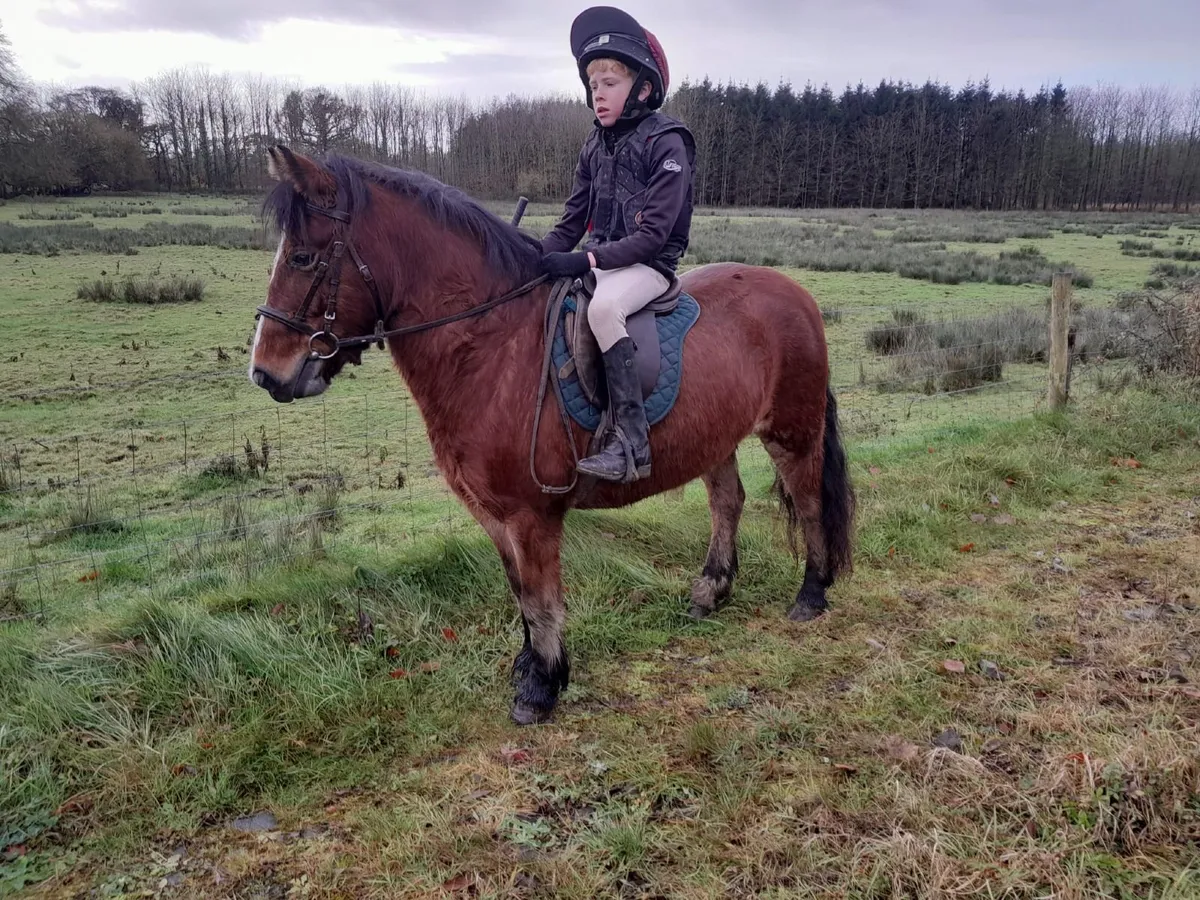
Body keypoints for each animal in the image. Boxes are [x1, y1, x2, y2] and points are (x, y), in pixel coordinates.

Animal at [249, 145, 856, 726]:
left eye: (302, 258)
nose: (265, 374)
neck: (489, 345)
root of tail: (795, 291)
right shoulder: (493, 515)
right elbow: (520, 595)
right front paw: (530, 666)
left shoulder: (531, 516)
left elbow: (541, 601)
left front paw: (541, 688)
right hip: (717, 438)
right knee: (728, 502)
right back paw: (711, 592)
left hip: (792, 430)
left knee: (807, 502)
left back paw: (811, 594)